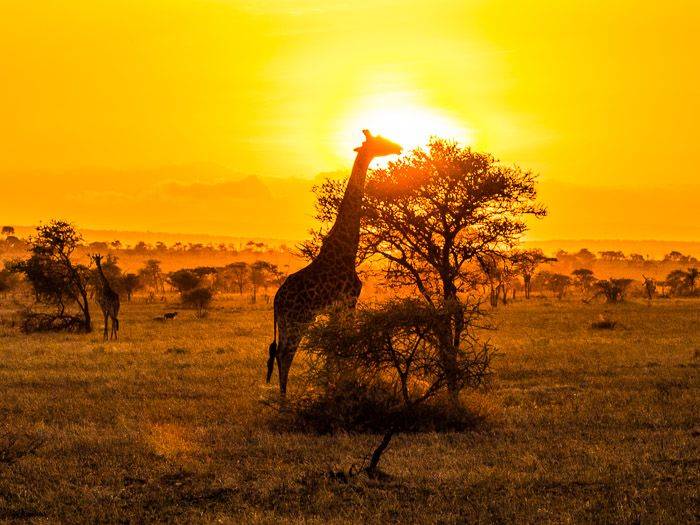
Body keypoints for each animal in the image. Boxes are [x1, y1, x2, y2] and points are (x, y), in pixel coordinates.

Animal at [266, 129, 401, 395]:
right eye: (380, 140)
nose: (398, 147)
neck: (346, 249)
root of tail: (277, 300)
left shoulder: (334, 309)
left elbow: (333, 349)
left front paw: (332, 388)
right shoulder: (349, 301)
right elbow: (344, 346)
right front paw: (344, 387)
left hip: (286, 321)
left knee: (278, 353)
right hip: (299, 319)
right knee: (285, 355)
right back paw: (285, 400)